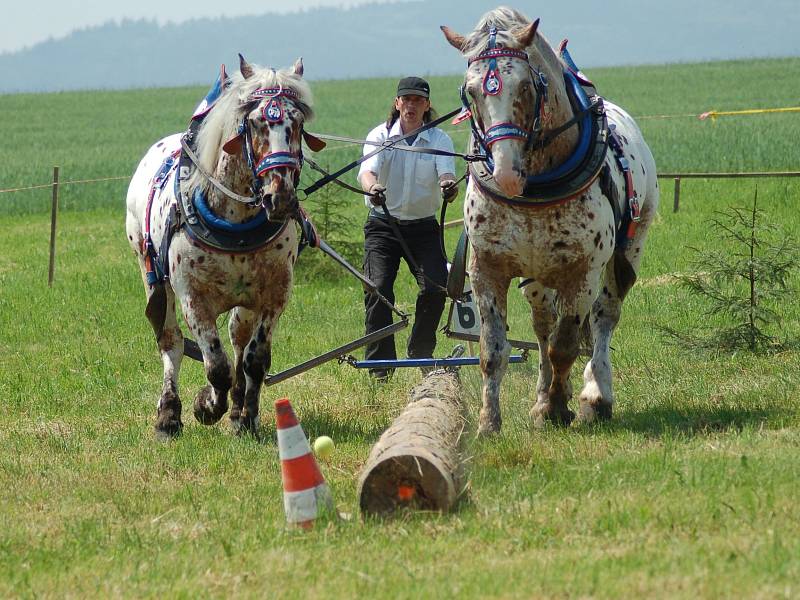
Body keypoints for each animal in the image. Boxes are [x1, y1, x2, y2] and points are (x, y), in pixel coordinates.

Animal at [126, 56, 318, 438]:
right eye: (256, 122)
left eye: (298, 122)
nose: (281, 198)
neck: (236, 221)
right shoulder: (193, 299)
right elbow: (216, 365)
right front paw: (206, 406)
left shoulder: (274, 294)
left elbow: (254, 360)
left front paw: (246, 417)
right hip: (153, 277)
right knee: (171, 343)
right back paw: (169, 415)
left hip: (243, 302)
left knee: (238, 340)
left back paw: (239, 404)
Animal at [440, 7, 660, 434]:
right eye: (471, 91)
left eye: (525, 86)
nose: (507, 174)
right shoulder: (487, 269)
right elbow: (494, 350)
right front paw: (490, 422)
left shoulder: (582, 271)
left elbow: (566, 346)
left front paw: (560, 408)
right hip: (538, 278)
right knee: (543, 326)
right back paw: (544, 394)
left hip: (626, 252)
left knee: (603, 318)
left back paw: (596, 393)